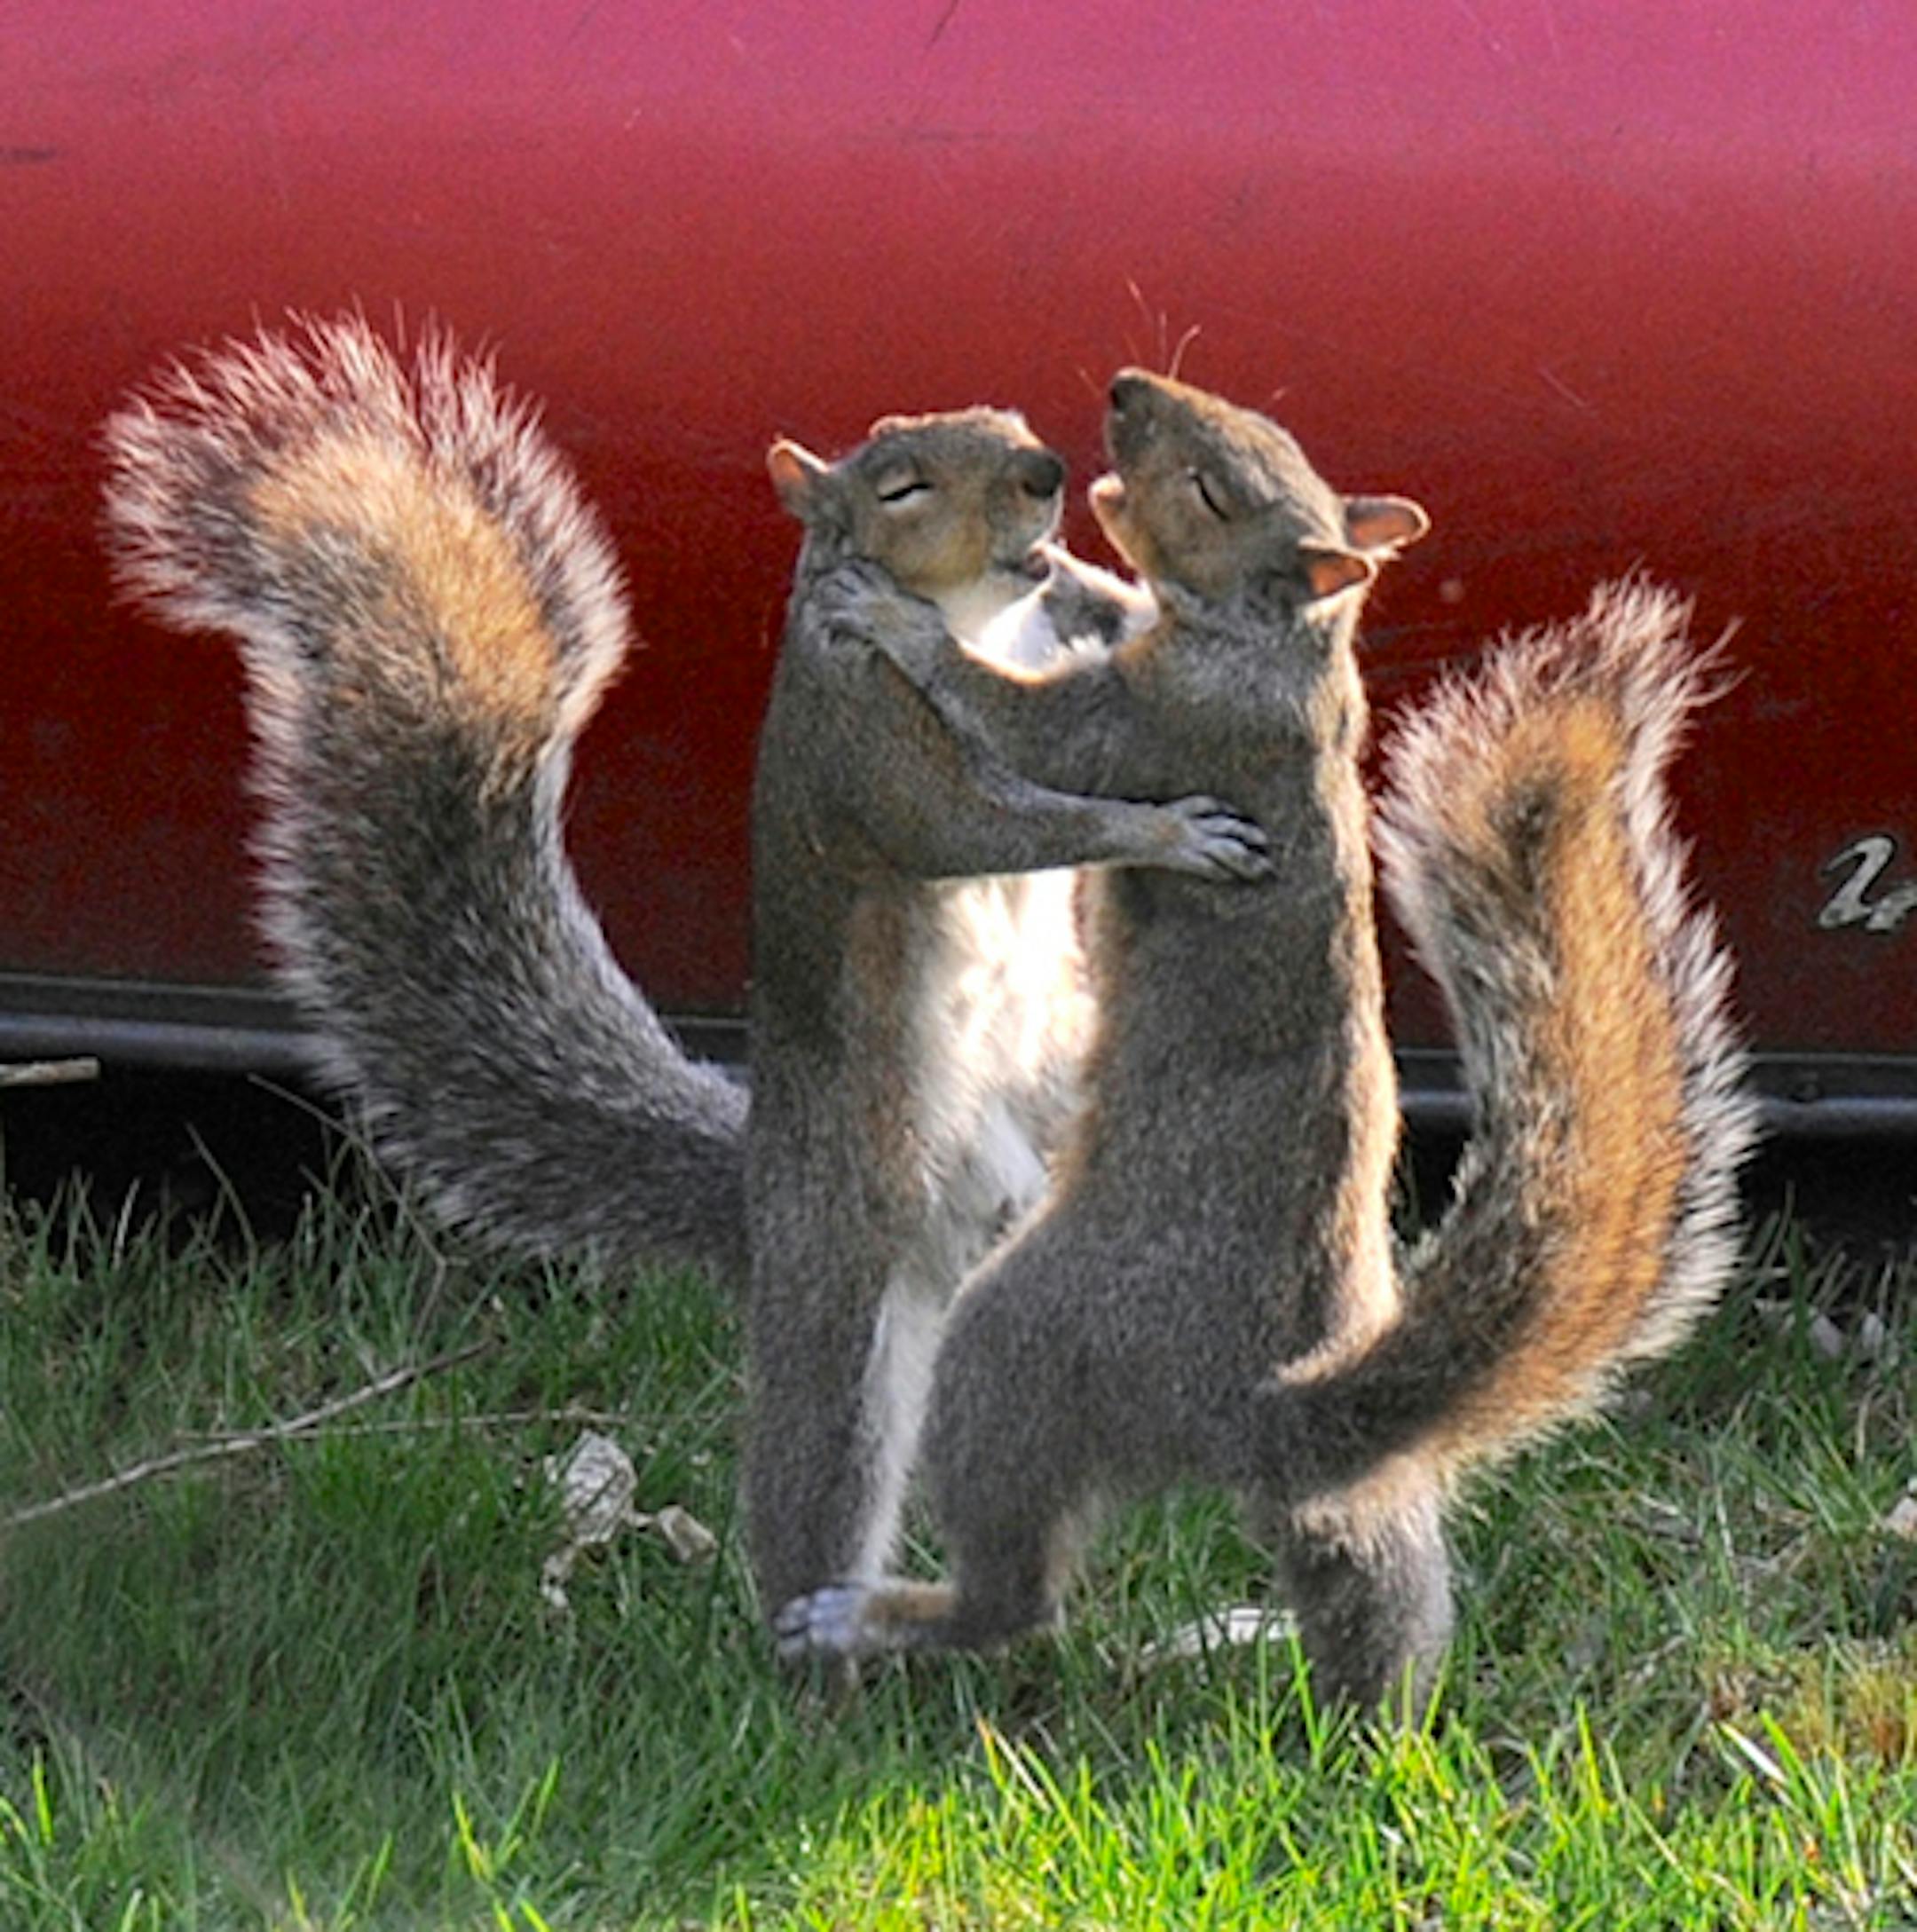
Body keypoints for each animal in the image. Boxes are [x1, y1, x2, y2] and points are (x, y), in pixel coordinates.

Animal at [100, 318, 1271, 1623]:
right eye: (901, 488)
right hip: (846, 1289)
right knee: (820, 1478)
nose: (1046, 473)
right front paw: (1170, 830)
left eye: (1006, 422)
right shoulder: (868, 746)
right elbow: (990, 823)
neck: (982, 624)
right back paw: (819, 1635)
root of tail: (759, 1192)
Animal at [774, 370, 1757, 1705]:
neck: (1279, 646)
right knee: (1364, 1567)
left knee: (1016, 1597)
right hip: (1345, 1508)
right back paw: (1356, 1707)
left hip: (1017, 1345)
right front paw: (1067, 568)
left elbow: (1020, 726)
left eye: (1215, 489)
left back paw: (880, 1615)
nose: (1121, 396)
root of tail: (1261, 1406)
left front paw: (899, 619)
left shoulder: (1157, 728)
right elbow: (1101, 615)